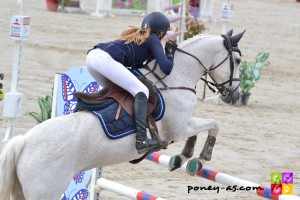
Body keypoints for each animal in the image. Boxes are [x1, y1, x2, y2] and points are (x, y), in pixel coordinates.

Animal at [0, 30, 244, 200]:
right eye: (238, 61)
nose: (234, 95)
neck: (176, 77)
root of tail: (24, 142)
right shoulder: (179, 127)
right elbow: (214, 124)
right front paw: (198, 159)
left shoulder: (183, 126)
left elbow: (205, 127)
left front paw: (181, 159)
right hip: (46, 190)